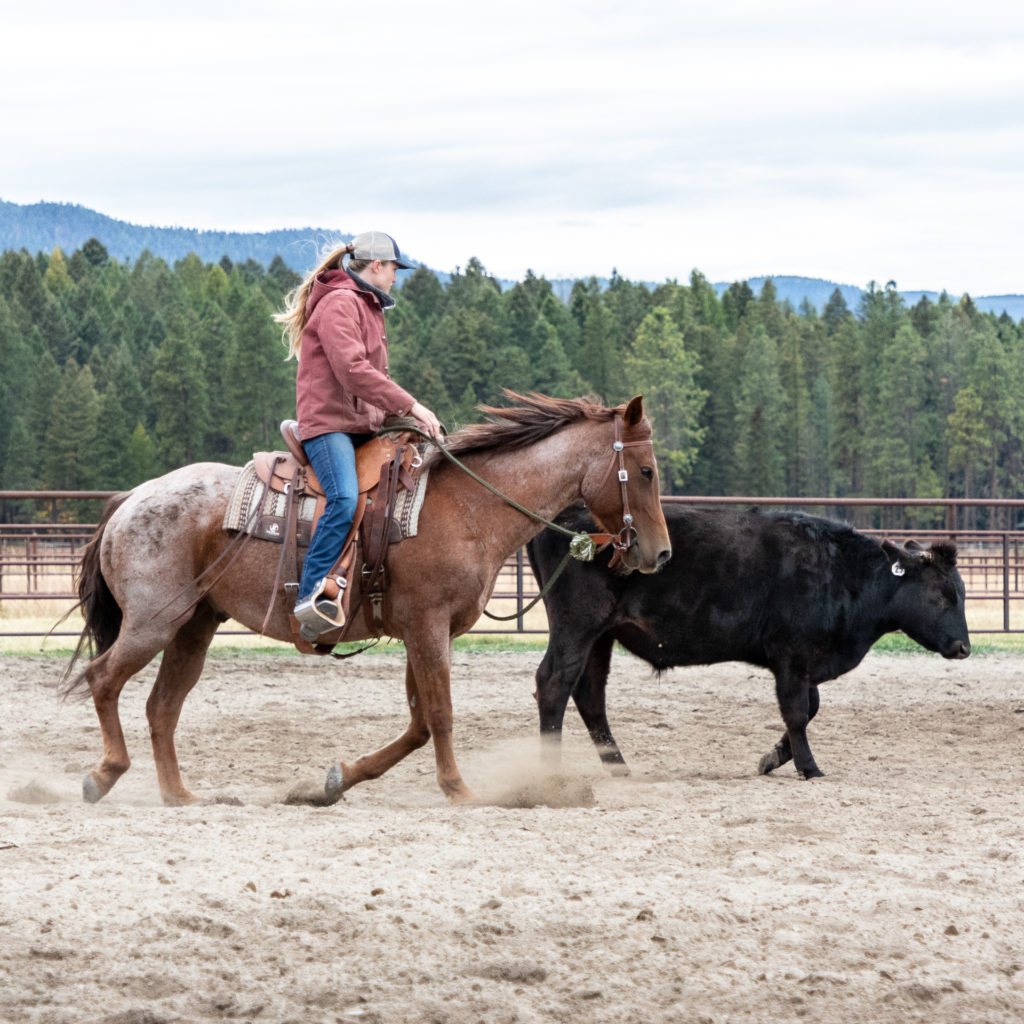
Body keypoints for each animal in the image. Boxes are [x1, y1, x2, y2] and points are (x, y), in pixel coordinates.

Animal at [64, 393, 671, 806]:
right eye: (646, 470)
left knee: (162, 706)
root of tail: (132, 498)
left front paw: (335, 781)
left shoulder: (422, 633)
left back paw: (180, 795)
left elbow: (419, 722)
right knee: (103, 679)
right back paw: (104, 775)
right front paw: (459, 789)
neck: (468, 508)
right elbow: (441, 714)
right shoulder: (427, 627)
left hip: (195, 626)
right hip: (153, 622)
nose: (661, 553)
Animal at [524, 501, 970, 774]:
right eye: (940, 595)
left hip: (601, 636)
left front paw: (773, 758)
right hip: (577, 625)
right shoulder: (792, 657)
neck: (840, 571)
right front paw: (808, 767)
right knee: (554, 683)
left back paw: (618, 766)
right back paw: (549, 768)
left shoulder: (803, 664)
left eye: (962, 592)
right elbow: (797, 712)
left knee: (589, 695)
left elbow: (810, 708)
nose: (963, 647)